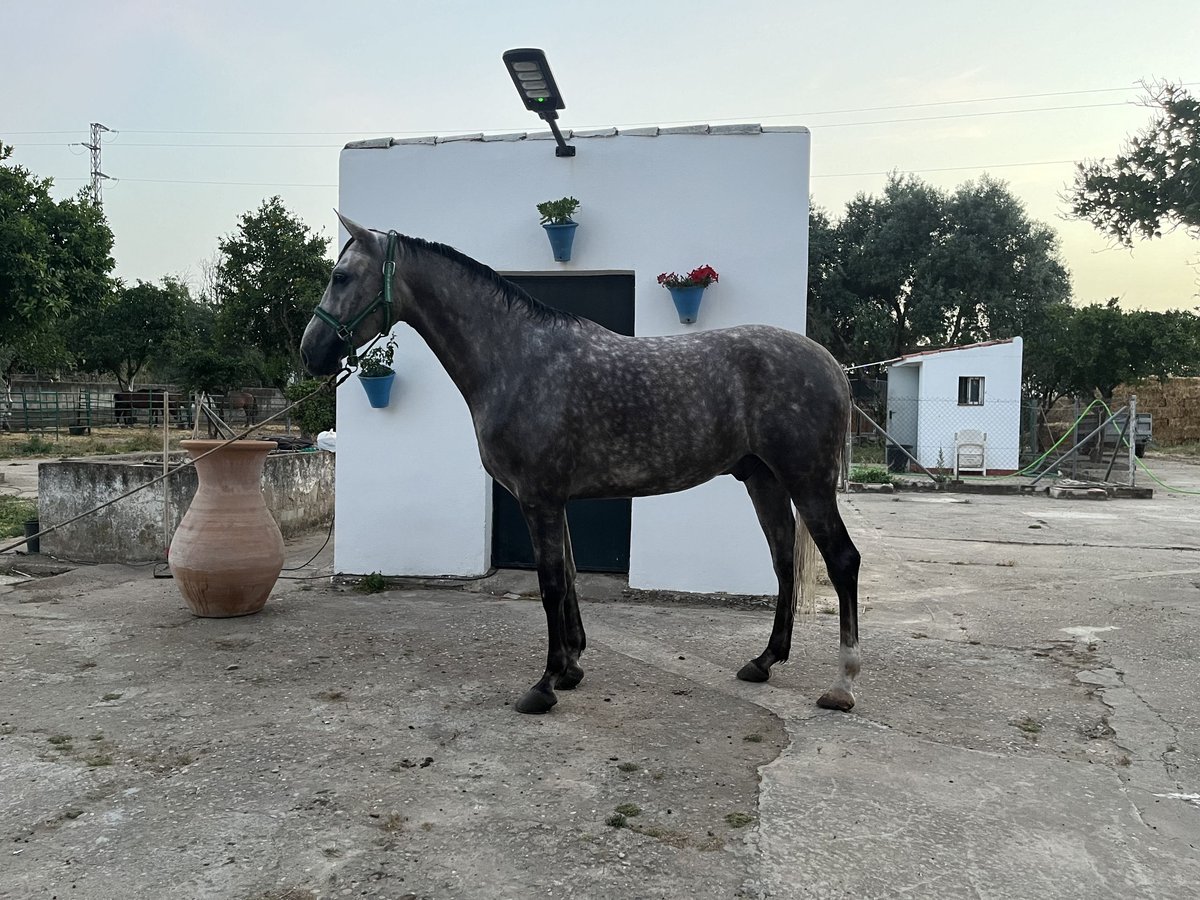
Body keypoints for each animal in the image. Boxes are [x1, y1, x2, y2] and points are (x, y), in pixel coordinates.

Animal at [302, 217, 864, 720]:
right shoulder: (555, 499)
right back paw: (764, 661)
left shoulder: (538, 497)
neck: (516, 359)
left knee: (842, 560)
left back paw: (842, 685)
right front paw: (571, 665)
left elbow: (551, 583)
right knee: (783, 561)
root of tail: (830, 363)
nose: (311, 352)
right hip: (763, 479)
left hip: (807, 483)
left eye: (341, 277)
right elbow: (569, 575)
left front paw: (545, 683)